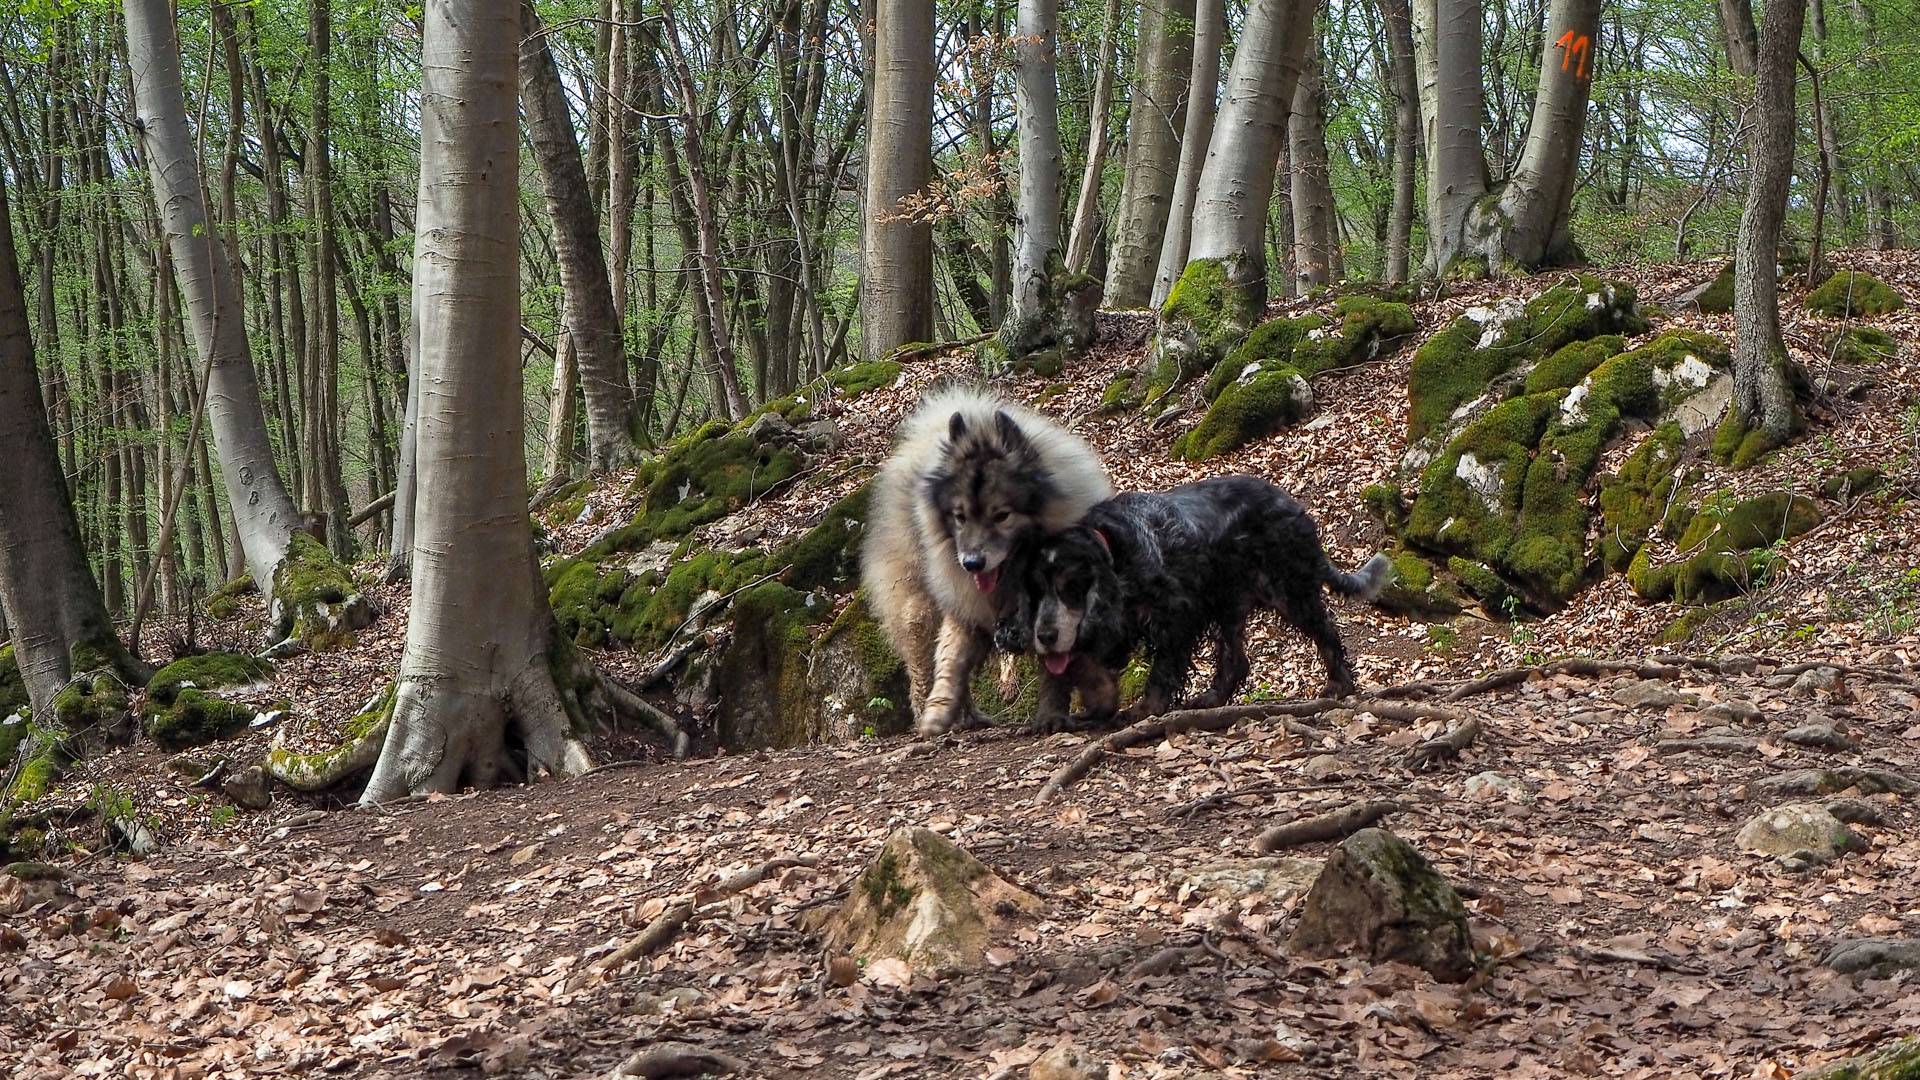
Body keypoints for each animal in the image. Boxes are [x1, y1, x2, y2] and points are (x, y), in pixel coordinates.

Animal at [860, 384, 1113, 730]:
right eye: (960, 517)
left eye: (1001, 515)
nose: (972, 563)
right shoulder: (962, 603)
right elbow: (950, 662)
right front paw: (938, 712)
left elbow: (1055, 669)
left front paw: (1052, 715)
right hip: (920, 608)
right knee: (923, 666)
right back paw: (938, 712)